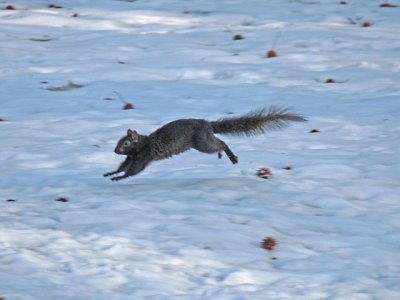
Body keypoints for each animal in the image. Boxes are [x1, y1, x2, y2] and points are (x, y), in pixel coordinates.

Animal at [104, 107, 306, 180]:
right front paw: (111, 173)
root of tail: (208, 125)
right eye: (119, 142)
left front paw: (118, 178)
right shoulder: (132, 157)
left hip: (201, 143)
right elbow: (123, 166)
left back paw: (229, 155)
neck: (141, 145)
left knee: (221, 143)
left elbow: (133, 170)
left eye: (125, 144)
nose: (115, 150)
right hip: (204, 141)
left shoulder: (143, 156)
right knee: (219, 142)